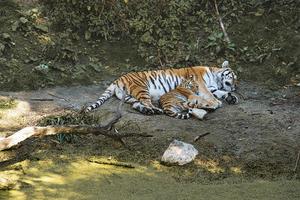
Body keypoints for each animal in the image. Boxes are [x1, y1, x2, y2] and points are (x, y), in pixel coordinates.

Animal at [85, 60, 238, 115]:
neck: (215, 77)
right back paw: (156, 109)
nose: (235, 86)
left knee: (137, 105)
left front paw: (231, 98)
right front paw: (216, 102)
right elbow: (209, 94)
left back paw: (149, 111)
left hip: (129, 97)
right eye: (233, 76)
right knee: (146, 101)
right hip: (142, 88)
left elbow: (220, 92)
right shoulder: (201, 84)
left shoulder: (212, 87)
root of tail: (118, 79)